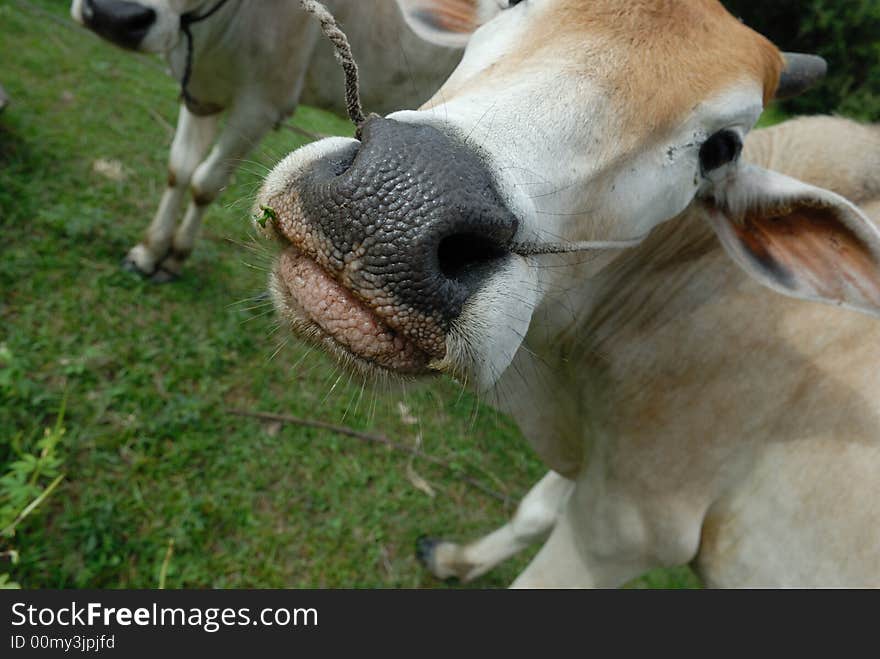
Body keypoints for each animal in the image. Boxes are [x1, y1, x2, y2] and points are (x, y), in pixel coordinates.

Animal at [70, 0, 460, 282]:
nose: (113, 15)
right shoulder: (199, 92)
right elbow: (179, 170)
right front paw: (148, 253)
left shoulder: (261, 105)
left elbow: (205, 183)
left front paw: (175, 258)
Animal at [254, 0, 880, 588]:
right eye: (513, 5)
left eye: (722, 149)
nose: (395, 206)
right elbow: (534, 509)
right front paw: (458, 559)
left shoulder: (628, 524)